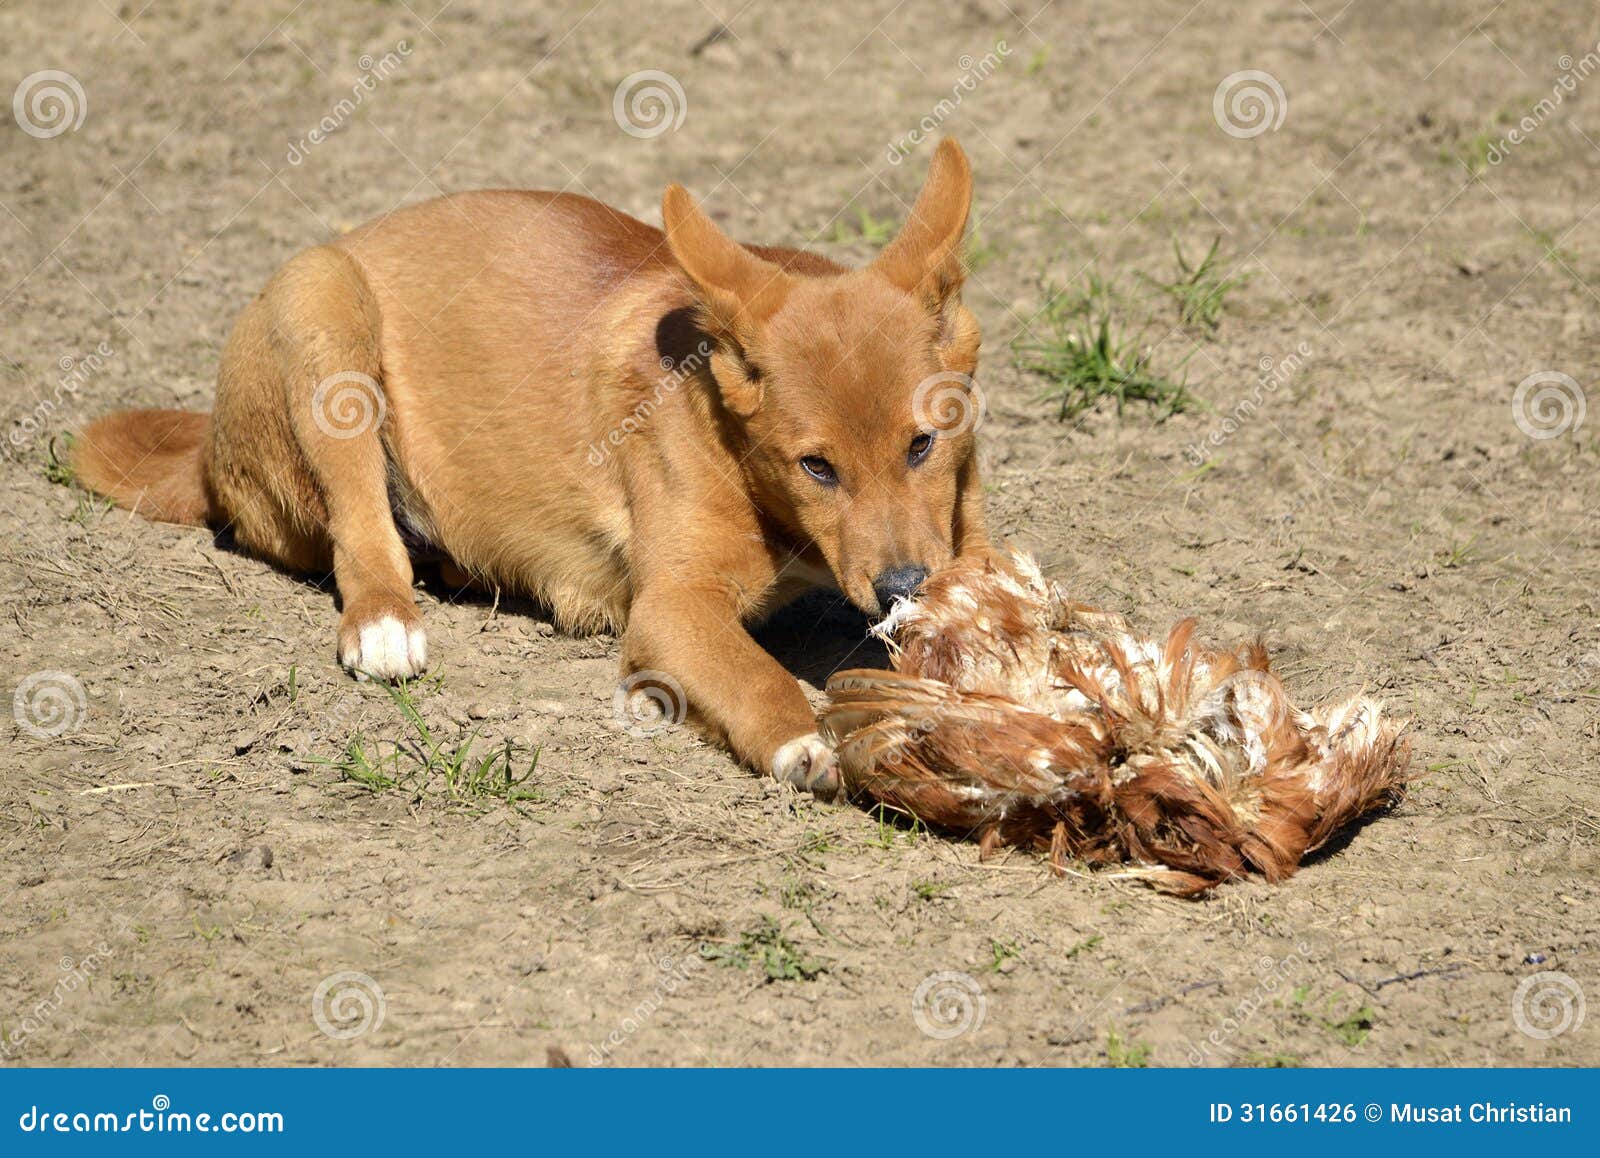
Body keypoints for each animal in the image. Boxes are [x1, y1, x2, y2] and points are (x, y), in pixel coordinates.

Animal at [81, 133, 992, 786]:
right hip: (326, 314)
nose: (902, 590)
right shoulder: (672, 608)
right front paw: (804, 743)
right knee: (360, 532)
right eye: (816, 467)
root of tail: (208, 446)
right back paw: (386, 620)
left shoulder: (961, 545)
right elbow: (752, 673)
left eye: (922, 444)